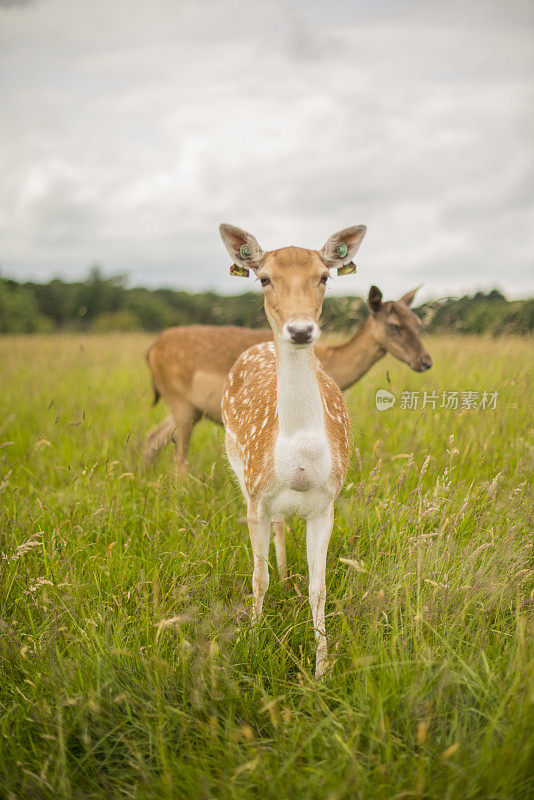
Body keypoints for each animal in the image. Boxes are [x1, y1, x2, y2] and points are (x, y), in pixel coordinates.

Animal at [144, 284, 434, 468]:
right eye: (394, 326)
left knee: (152, 439)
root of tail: (151, 351)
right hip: (181, 403)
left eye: (418, 323)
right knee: (177, 457)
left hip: (188, 408)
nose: (425, 361)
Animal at [222, 222, 368, 680]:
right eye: (264, 278)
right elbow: (257, 578)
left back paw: (288, 577)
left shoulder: (327, 503)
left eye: (323, 276)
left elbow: (319, 589)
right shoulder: (254, 496)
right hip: (238, 469)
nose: (301, 330)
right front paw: (251, 643)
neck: (300, 465)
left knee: (284, 527)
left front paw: (322, 670)